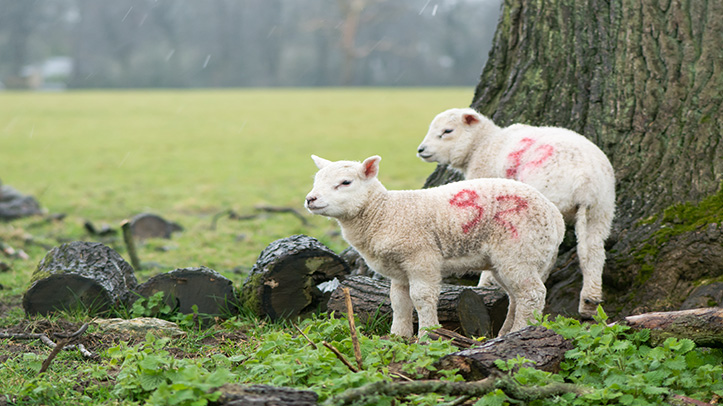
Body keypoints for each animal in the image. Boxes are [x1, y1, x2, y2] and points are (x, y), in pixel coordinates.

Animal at [305, 155, 564, 337]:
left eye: (345, 182)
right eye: (315, 181)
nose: (310, 199)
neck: (384, 213)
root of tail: (555, 215)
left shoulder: (422, 258)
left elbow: (421, 297)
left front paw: (428, 334)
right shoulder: (398, 269)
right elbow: (398, 301)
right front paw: (398, 336)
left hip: (519, 250)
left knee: (532, 294)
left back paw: (520, 331)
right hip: (509, 260)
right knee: (515, 296)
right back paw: (504, 333)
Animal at [416, 107, 616, 319]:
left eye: (447, 131)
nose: (421, 150)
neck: (482, 144)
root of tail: (586, 181)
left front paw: (485, 283)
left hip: (545, 204)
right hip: (601, 209)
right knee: (593, 251)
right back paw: (590, 301)